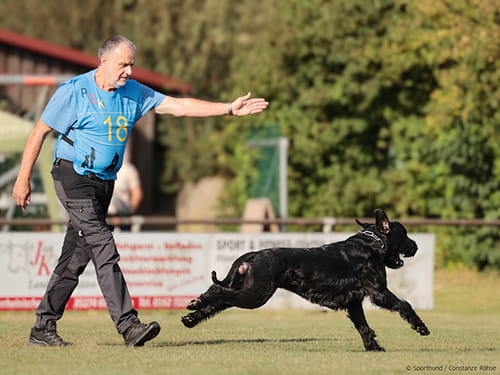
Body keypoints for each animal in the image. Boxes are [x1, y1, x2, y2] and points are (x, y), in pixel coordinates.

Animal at [183, 210, 430, 352]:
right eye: (404, 234)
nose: (416, 246)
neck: (371, 245)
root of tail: (252, 255)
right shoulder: (379, 292)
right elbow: (404, 304)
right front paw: (420, 326)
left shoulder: (354, 301)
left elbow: (363, 327)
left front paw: (373, 347)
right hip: (255, 294)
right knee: (218, 292)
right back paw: (196, 304)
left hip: (244, 289)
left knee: (218, 301)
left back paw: (191, 316)